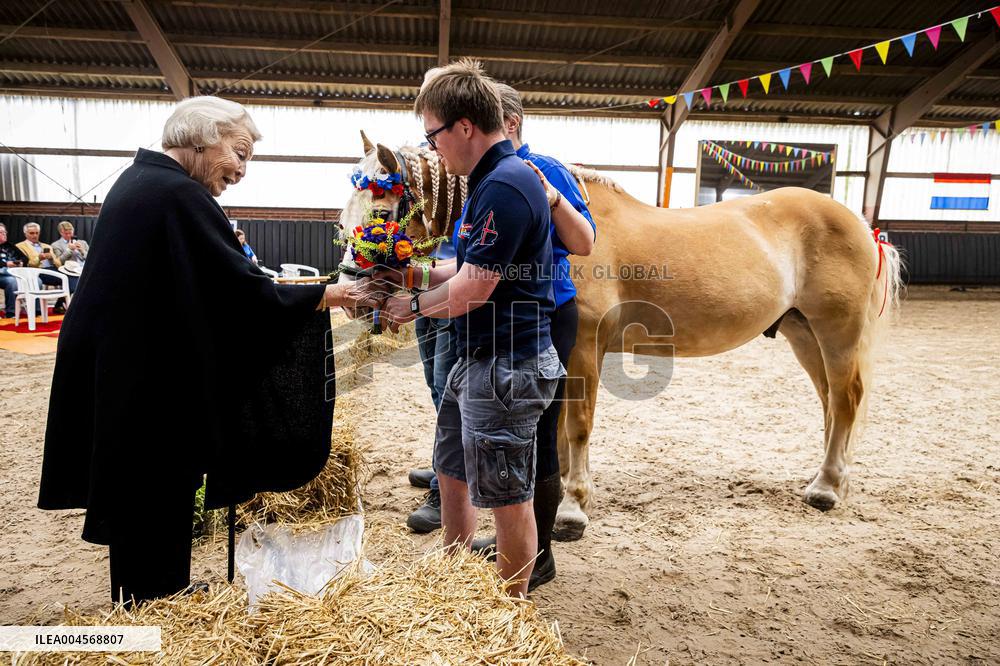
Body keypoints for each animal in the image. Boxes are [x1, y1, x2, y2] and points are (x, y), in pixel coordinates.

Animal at [341, 132, 903, 542]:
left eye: (382, 215)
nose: (354, 294)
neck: (561, 230)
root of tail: (860, 223)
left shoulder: (585, 347)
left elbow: (577, 427)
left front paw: (571, 509)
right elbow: (557, 429)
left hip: (836, 331)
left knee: (846, 401)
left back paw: (827, 487)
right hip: (802, 332)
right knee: (832, 404)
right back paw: (829, 477)